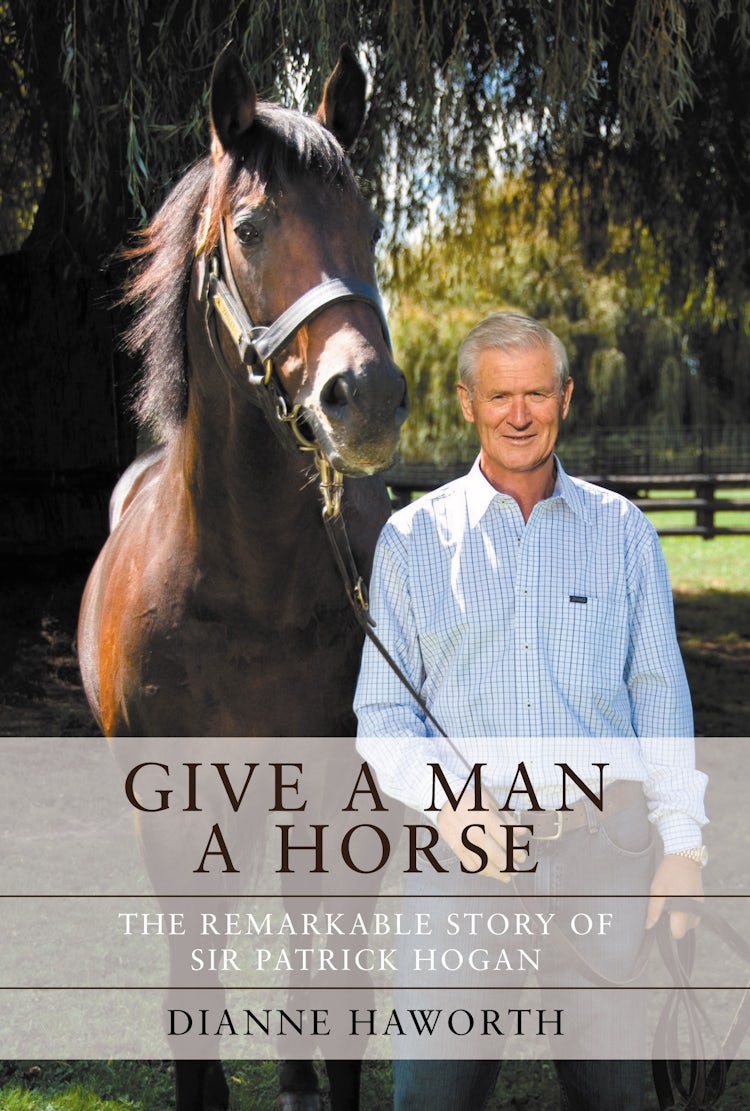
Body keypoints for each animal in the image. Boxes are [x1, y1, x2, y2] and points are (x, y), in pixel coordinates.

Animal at [77, 43, 407, 1111]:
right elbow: (195, 1011)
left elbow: (340, 1007)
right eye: (252, 227)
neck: (249, 586)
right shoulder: (176, 824)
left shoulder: (348, 811)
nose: (367, 395)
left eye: (372, 225)